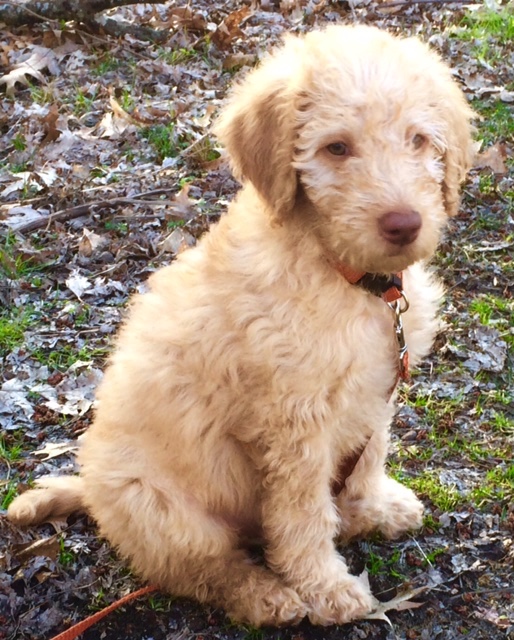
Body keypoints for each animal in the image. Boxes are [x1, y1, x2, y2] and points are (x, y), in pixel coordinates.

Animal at [8, 23, 472, 624]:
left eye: (418, 140)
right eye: (337, 148)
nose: (403, 224)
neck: (346, 276)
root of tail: (91, 490)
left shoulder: (375, 389)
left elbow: (368, 453)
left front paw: (371, 506)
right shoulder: (293, 422)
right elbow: (303, 514)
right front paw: (326, 587)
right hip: (161, 507)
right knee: (201, 570)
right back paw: (264, 595)